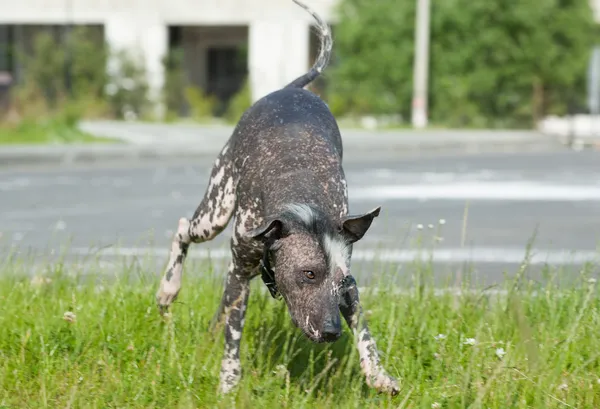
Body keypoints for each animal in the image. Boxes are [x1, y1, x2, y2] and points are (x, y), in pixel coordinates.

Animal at [155, 0, 398, 396]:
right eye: (308, 273)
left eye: (340, 280)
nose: (332, 331)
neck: (303, 204)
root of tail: (290, 88)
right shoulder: (240, 276)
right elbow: (233, 337)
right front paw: (228, 383)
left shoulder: (350, 290)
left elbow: (364, 330)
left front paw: (377, 372)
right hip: (216, 210)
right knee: (182, 230)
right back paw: (168, 289)